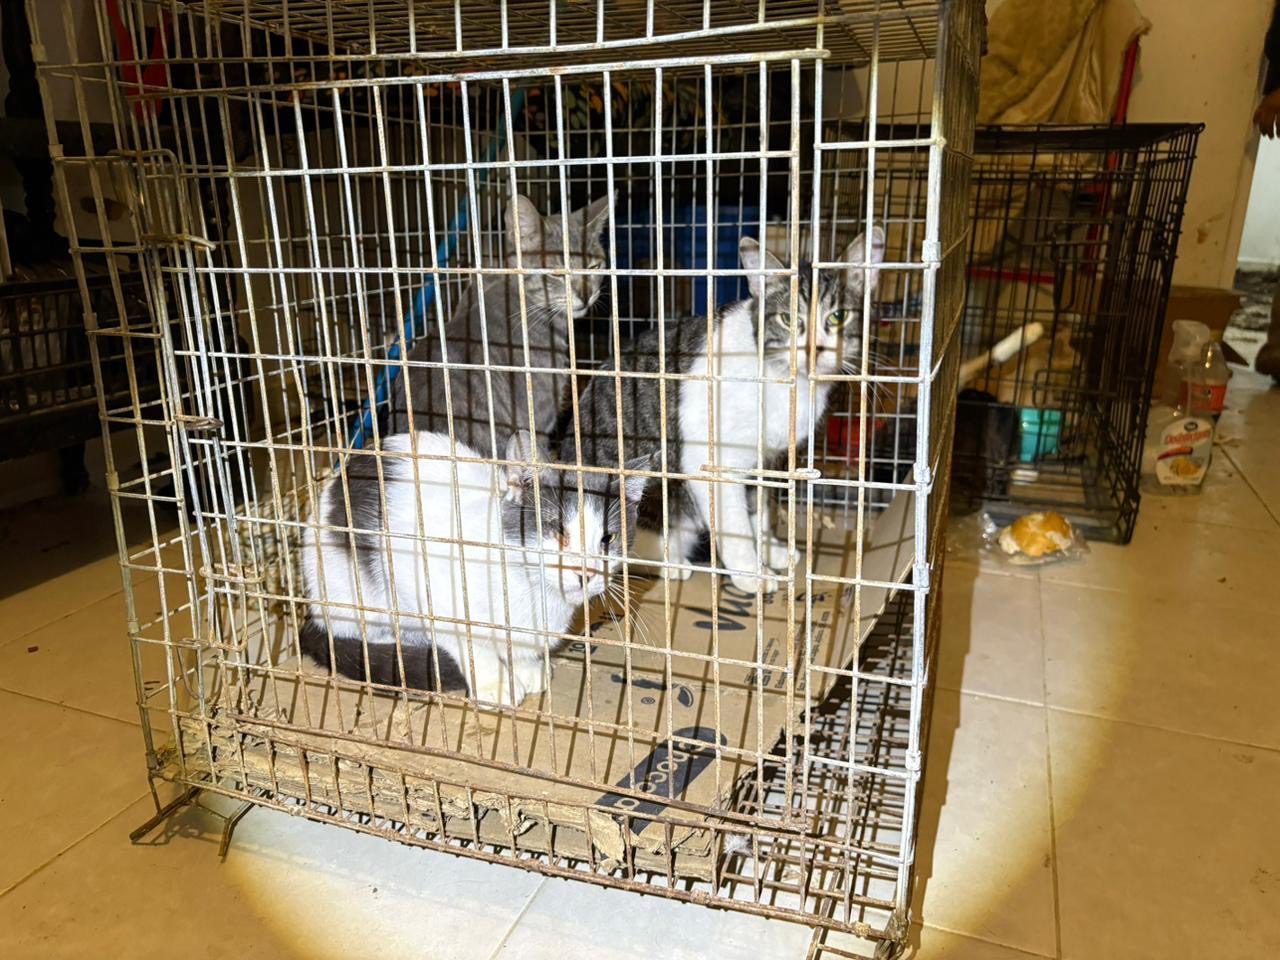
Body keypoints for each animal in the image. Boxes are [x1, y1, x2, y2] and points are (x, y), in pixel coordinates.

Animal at [300, 430, 652, 705]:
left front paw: (527, 667)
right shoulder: (425, 580)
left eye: (608, 538)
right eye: (558, 531)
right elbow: (471, 644)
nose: (587, 572)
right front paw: (496, 683)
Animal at [558, 226, 885, 593]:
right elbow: (736, 527)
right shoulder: (713, 462)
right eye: (788, 319)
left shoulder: (763, 462)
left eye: (838, 316)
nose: (813, 350)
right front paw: (752, 573)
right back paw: (669, 562)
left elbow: (759, 510)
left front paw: (769, 549)